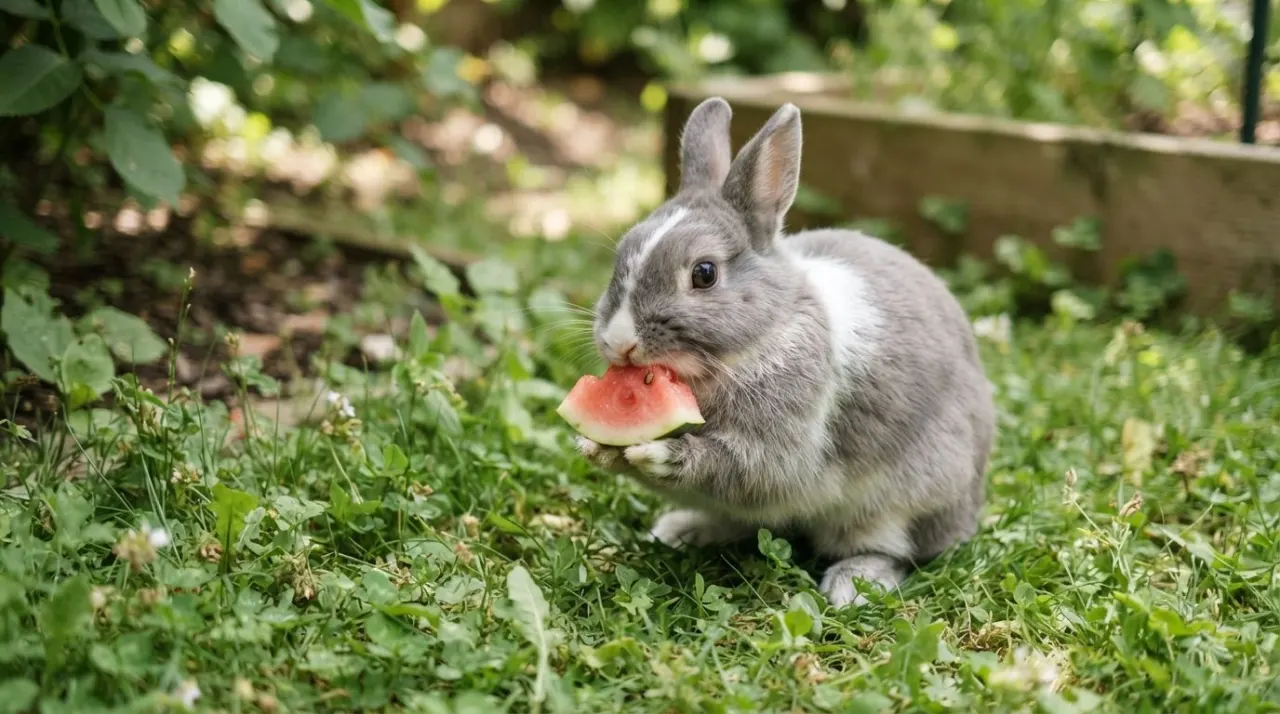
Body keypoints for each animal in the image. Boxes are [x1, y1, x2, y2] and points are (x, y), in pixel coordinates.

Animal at [575, 96, 995, 608]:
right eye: (620, 255)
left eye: (704, 273)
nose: (619, 341)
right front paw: (593, 445)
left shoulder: (778, 448)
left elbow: (738, 467)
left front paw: (662, 454)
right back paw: (680, 529)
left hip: (902, 503)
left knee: (895, 550)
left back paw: (853, 584)